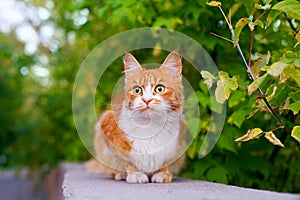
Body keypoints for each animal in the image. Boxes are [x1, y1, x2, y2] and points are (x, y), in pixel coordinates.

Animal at [90, 51, 186, 183]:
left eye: (160, 88)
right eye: (137, 90)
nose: (147, 100)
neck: (151, 128)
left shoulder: (177, 145)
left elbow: (166, 162)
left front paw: (162, 174)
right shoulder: (107, 126)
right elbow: (127, 161)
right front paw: (135, 174)